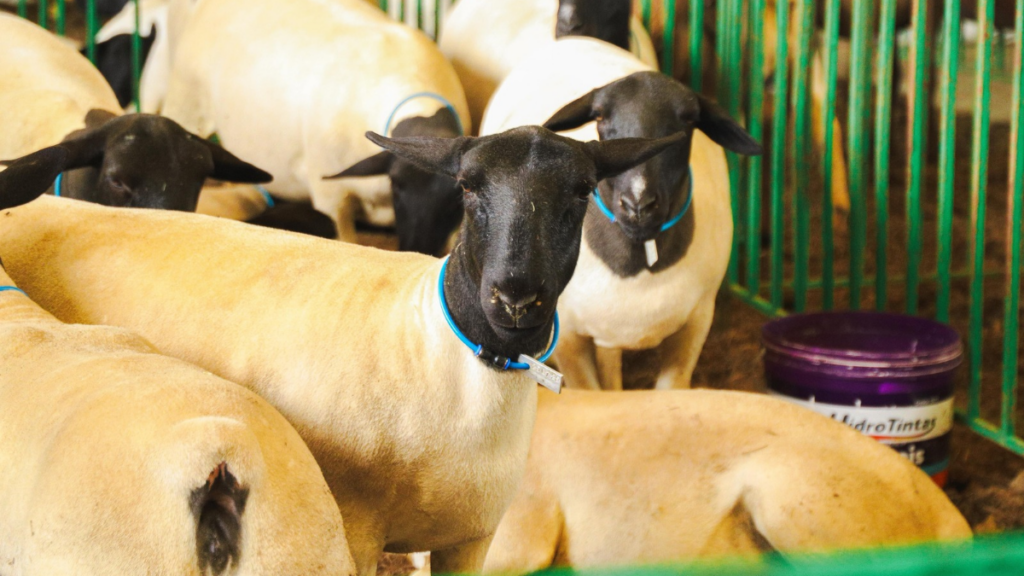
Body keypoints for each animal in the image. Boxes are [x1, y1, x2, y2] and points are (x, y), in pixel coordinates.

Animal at [482, 38, 761, 390]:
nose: (638, 204)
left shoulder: (696, 321)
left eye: (688, 120)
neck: (638, 261)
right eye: (600, 117)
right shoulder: (569, 336)